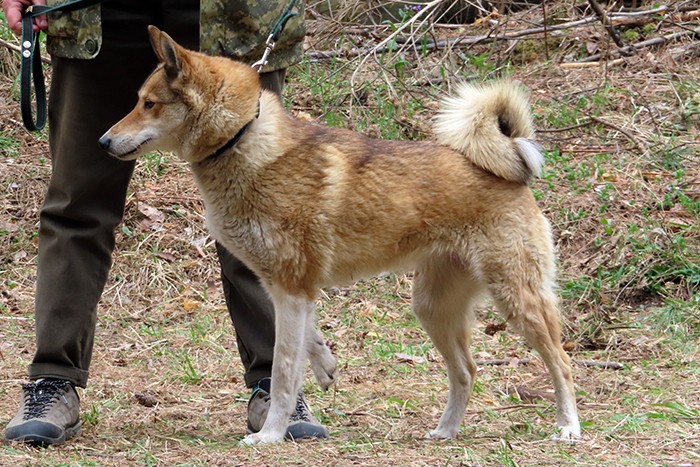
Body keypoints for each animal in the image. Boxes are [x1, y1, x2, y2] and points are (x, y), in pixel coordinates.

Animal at [99, 25, 581, 445]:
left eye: (148, 103)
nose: (102, 141)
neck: (243, 140)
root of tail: (508, 169)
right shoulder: (288, 287)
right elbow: (308, 341)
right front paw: (326, 365)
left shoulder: (292, 285)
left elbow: (283, 371)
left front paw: (270, 435)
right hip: (432, 307)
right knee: (467, 371)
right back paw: (446, 431)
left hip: (516, 298)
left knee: (561, 361)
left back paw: (568, 427)